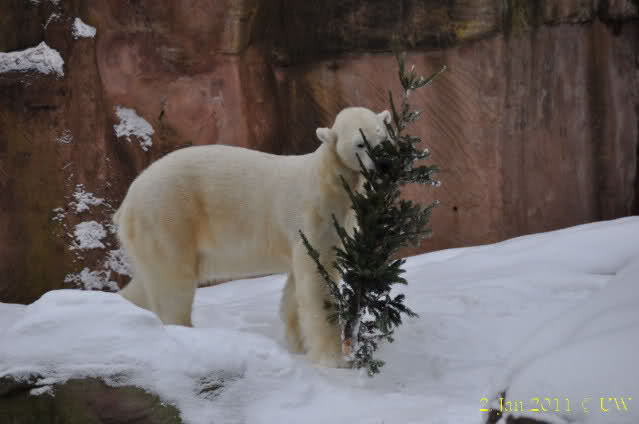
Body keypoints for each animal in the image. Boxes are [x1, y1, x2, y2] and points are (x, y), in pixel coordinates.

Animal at [114, 106, 391, 366]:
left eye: (382, 137)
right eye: (360, 143)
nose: (382, 162)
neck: (329, 178)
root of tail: (127, 201)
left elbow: (294, 293)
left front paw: (299, 346)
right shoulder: (313, 217)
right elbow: (316, 281)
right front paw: (331, 359)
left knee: (147, 282)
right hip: (168, 216)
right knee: (172, 283)